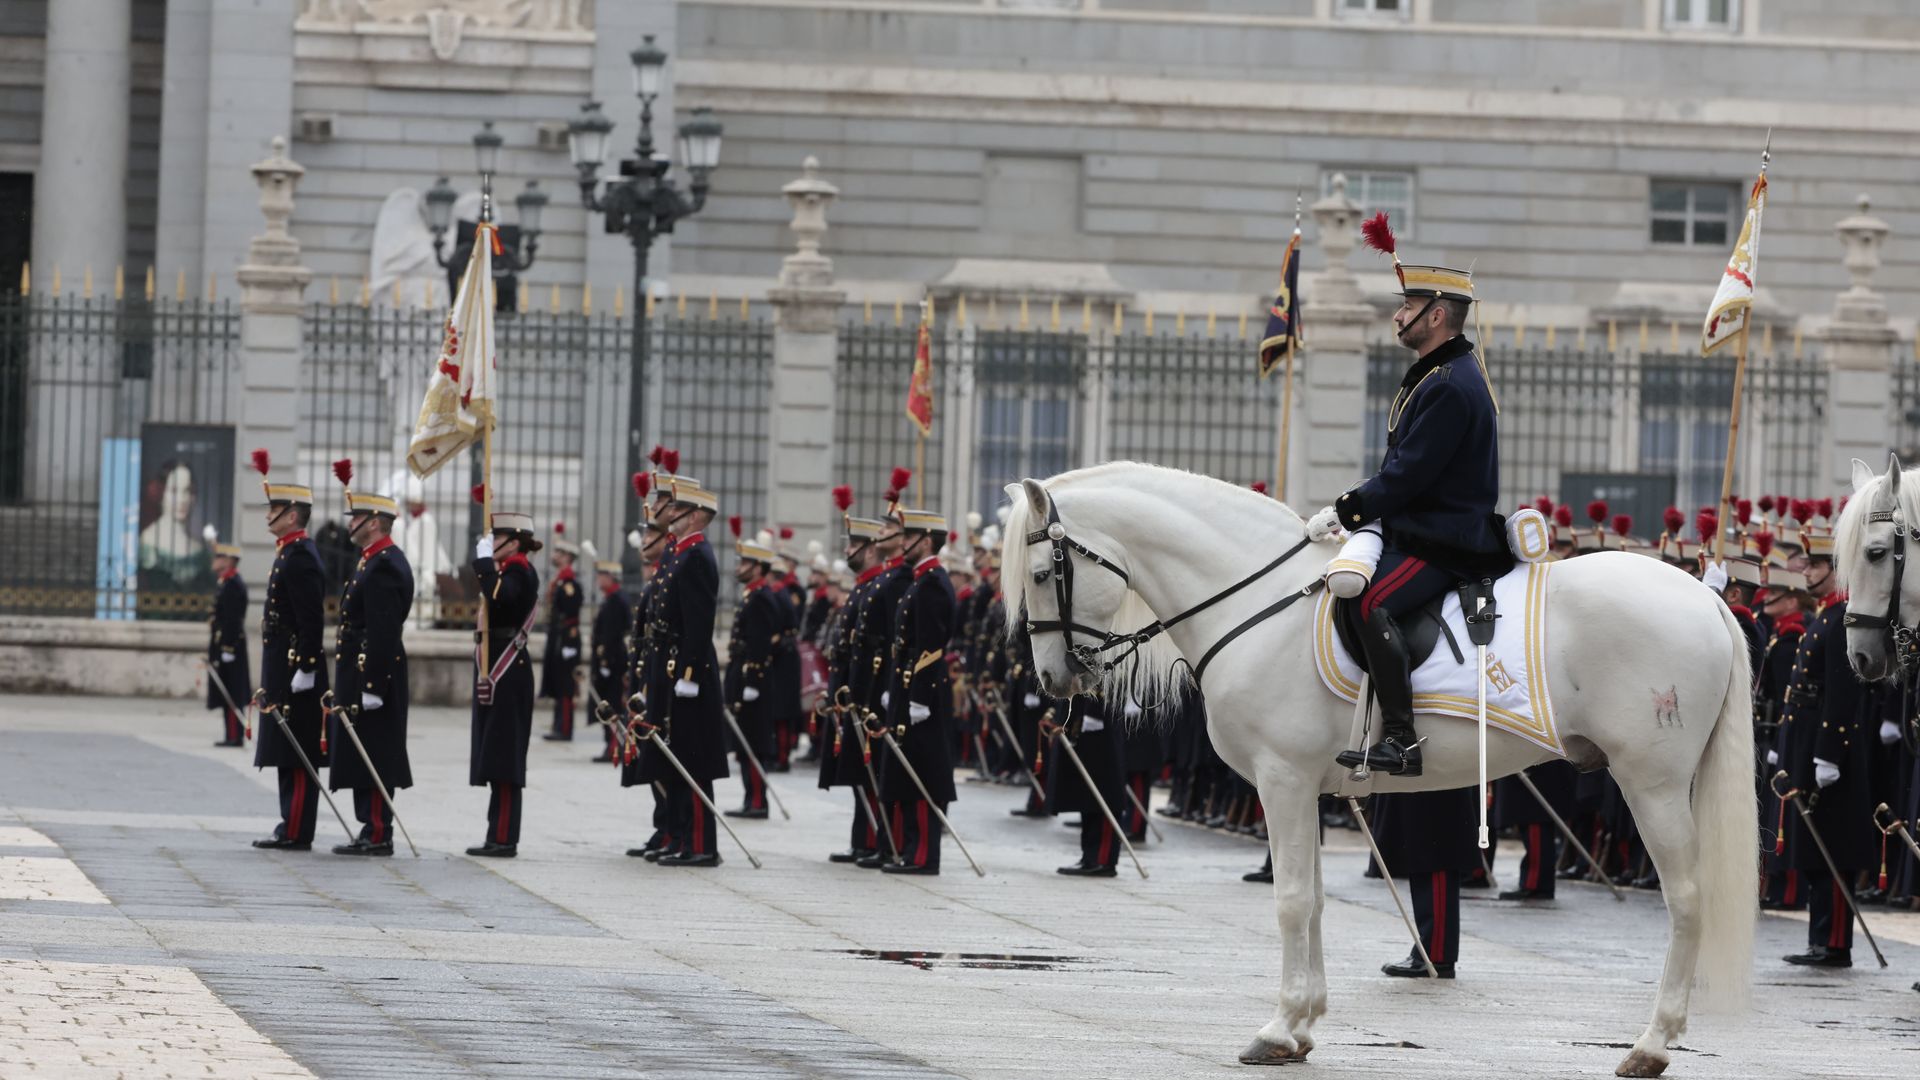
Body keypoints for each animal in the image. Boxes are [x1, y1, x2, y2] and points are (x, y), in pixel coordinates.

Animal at [1006, 465, 1758, 1076]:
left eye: (1041, 576)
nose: (1052, 680)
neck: (1255, 602)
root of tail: (1705, 598)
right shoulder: (1305, 787)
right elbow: (1312, 902)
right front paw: (1304, 1025)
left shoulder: (1281, 779)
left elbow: (1290, 901)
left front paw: (1277, 1028)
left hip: (1652, 783)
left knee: (1687, 899)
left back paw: (1652, 1044)